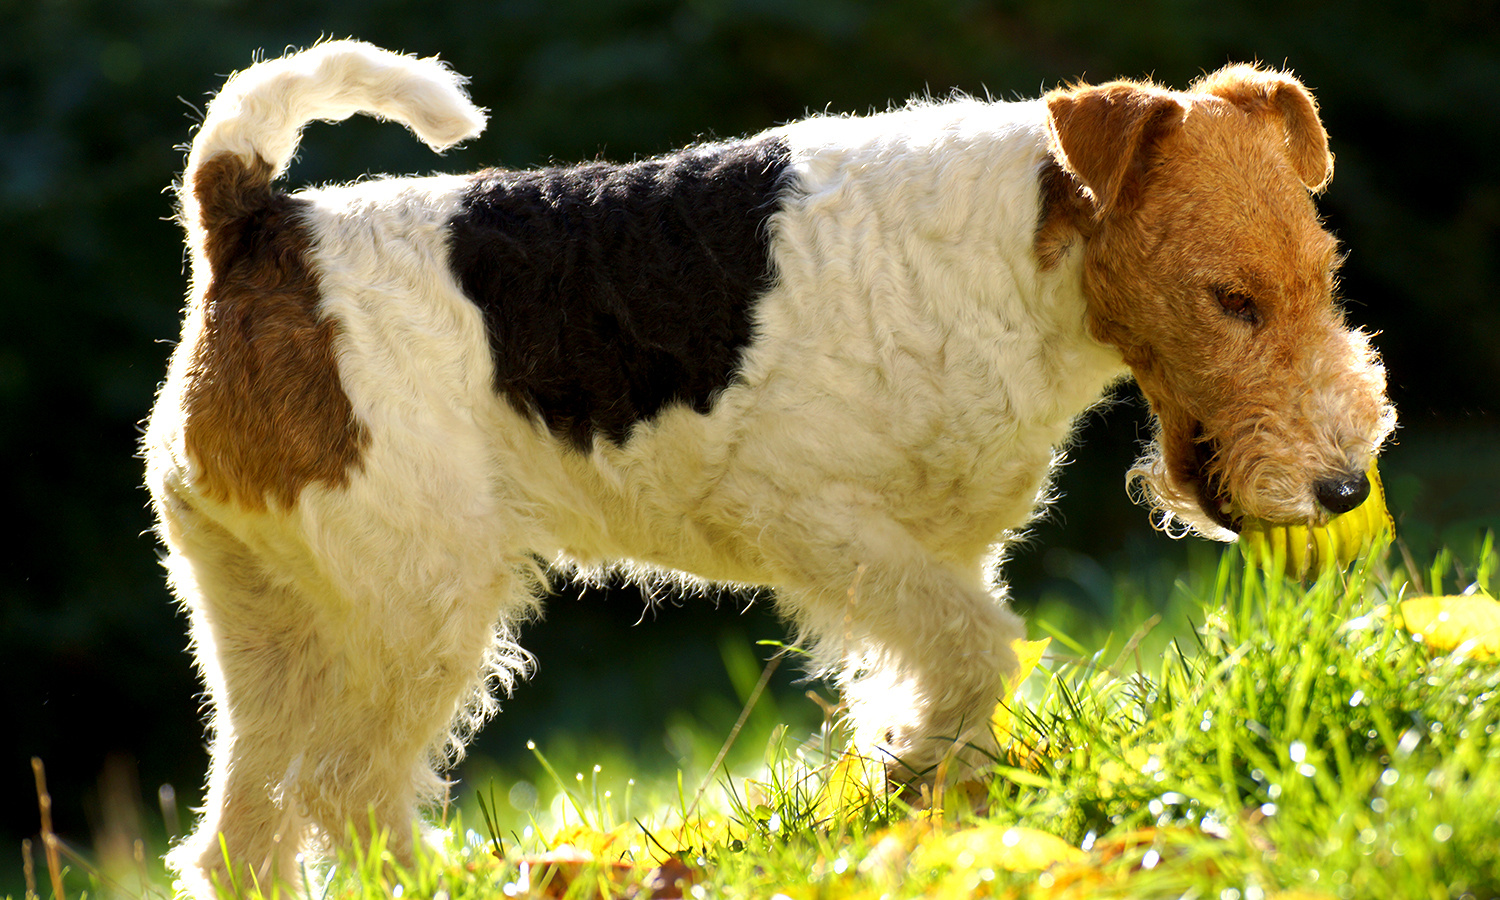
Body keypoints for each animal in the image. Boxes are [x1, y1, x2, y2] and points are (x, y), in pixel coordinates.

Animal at [146, 40, 1398, 894]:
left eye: (1323, 275)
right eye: (1231, 300)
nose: (1344, 488)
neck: (1023, 257)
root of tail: (254, 227)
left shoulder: (934, 548)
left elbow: (946, 673)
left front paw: (932, 794)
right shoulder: (809, 518)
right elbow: (976, 649)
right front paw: (912, 773)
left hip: (262, 620)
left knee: (241, 834)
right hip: (420, 605)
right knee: (346, 796)